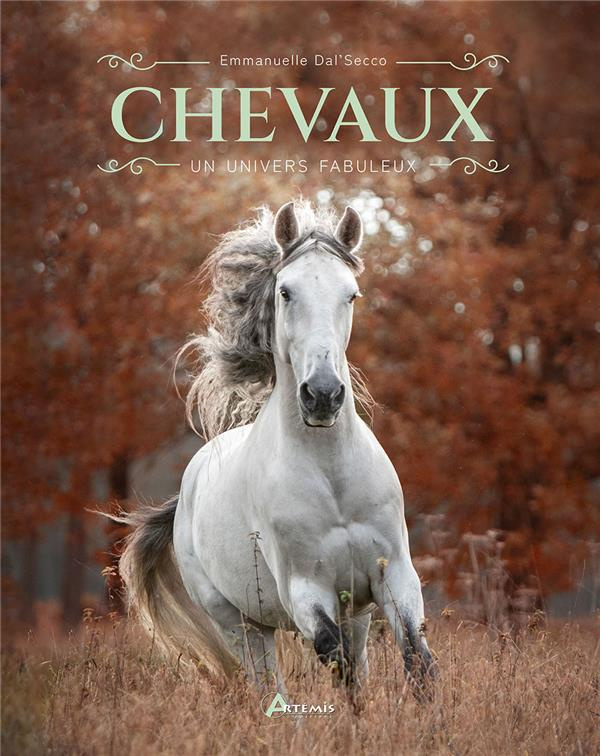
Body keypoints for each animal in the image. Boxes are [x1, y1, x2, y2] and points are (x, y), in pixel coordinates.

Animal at [120, 200, 436, 695]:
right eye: (285, 292)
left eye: (352, 295)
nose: (322, 394)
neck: (331, 479)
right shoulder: (305, 590)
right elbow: (335, 659)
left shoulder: (393, 577)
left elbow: (416, 662)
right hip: (241, 624)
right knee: (271, 687)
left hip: (357, 614)